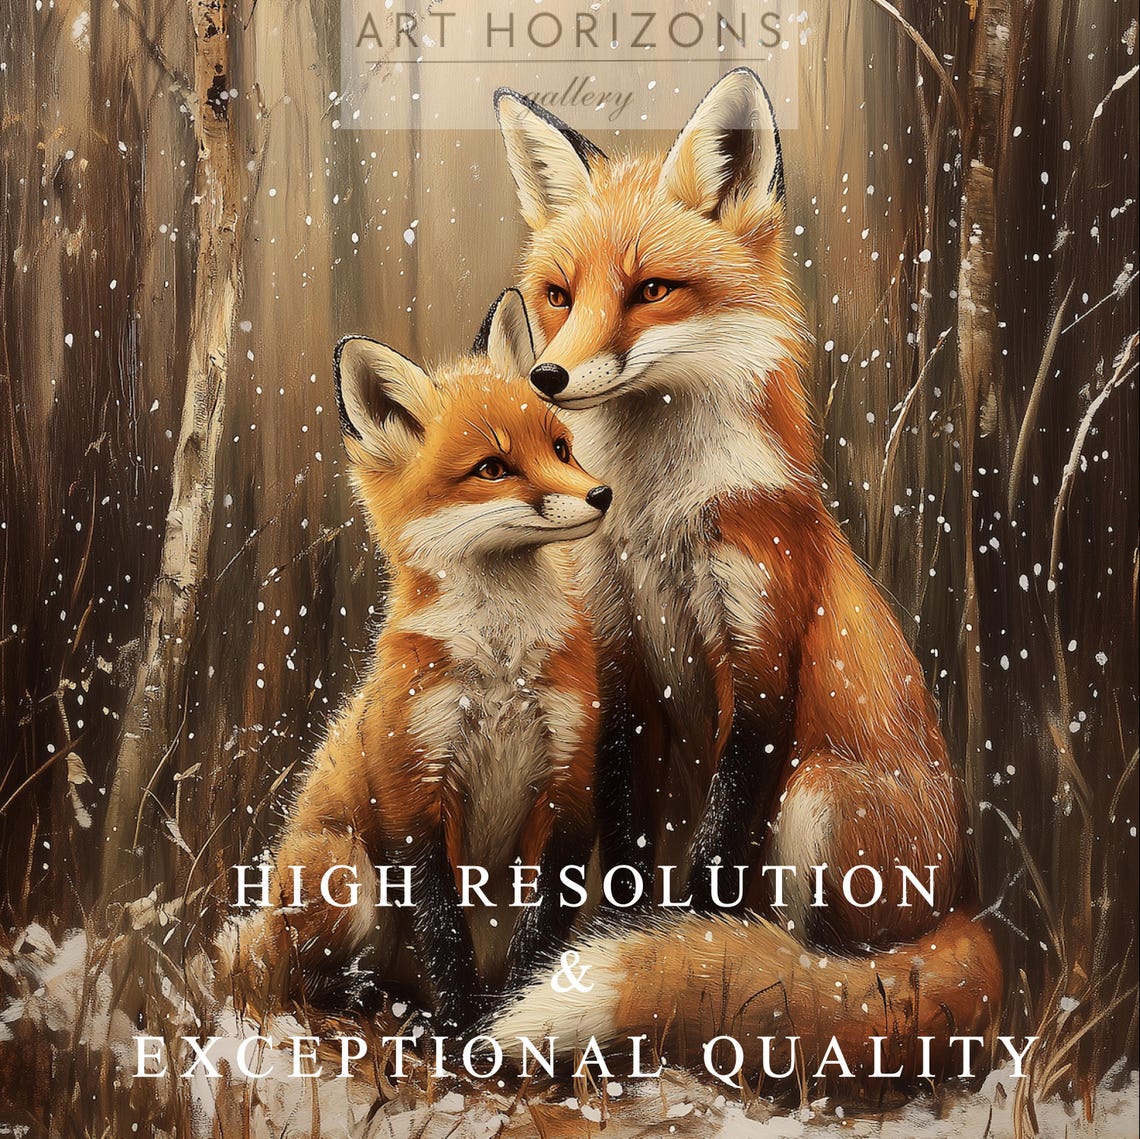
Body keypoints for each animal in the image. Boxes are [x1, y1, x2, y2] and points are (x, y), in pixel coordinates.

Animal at [221, 290, 612, 1034]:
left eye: (560, 447)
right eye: (492, 468)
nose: (601, 494)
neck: (500, 667)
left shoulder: (570, 783)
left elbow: (541, 929)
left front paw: (511, 1018)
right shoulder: (414, 787)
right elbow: (442, 930)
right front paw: (461, 1029)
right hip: (342, 871)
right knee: (298, 981)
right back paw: (377, 1006)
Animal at [487, 71, 1002, 1077]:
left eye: (651, 290)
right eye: (559, 295)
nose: (548, 376)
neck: (656, 521)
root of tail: (967, 900)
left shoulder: (758, 652)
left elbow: (717, 859)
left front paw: (692, 953)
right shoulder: (621, 658)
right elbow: (619, 839)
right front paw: (596, 938)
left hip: (821, 799)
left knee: (833, 970)